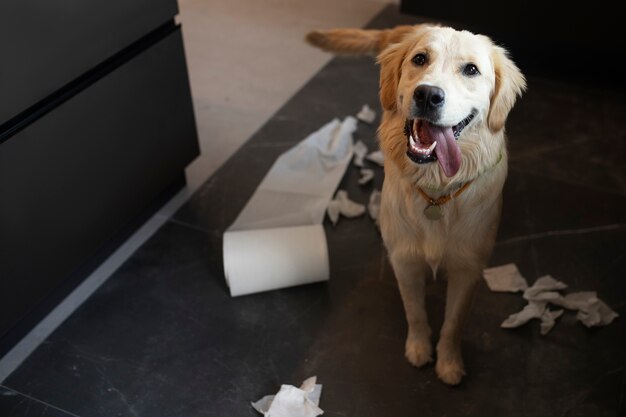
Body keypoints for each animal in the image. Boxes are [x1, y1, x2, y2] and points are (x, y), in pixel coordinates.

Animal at [304, 25, 524, 384]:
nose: (428, 95)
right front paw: (419, 349)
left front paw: (448, 362)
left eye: (471, 70)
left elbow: (453, 323)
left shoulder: (468, 267)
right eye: (420, 59)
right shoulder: (405, 260)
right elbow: (416, 312)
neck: (437, 189)